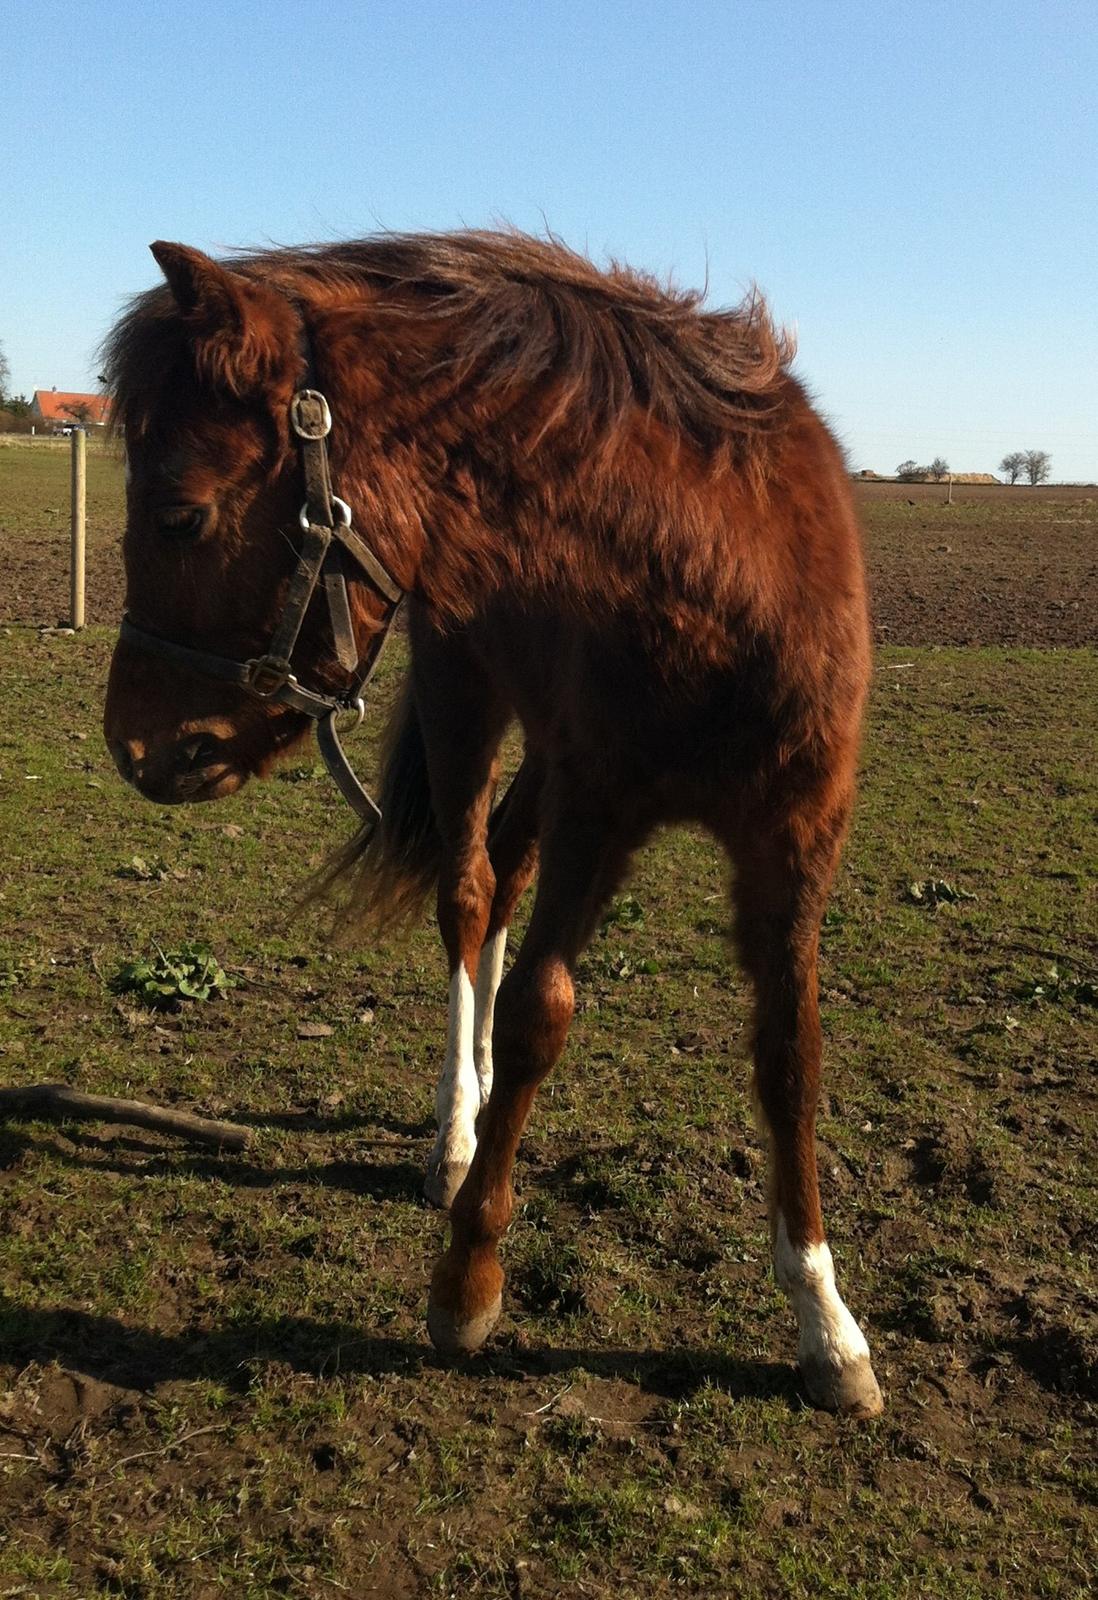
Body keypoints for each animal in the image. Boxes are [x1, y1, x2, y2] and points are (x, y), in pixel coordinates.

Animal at [101, 230, 882, 1418]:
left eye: (181, 514)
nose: (132, 747)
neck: (713, 579)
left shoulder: (794, 839)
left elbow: (790, 1052)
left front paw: (827, 1324)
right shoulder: (599, 805)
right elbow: (537, 1017)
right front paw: (468, 1280)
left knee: (501, 879)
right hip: (468, 703)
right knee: (469, 897)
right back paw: (457, 1129)